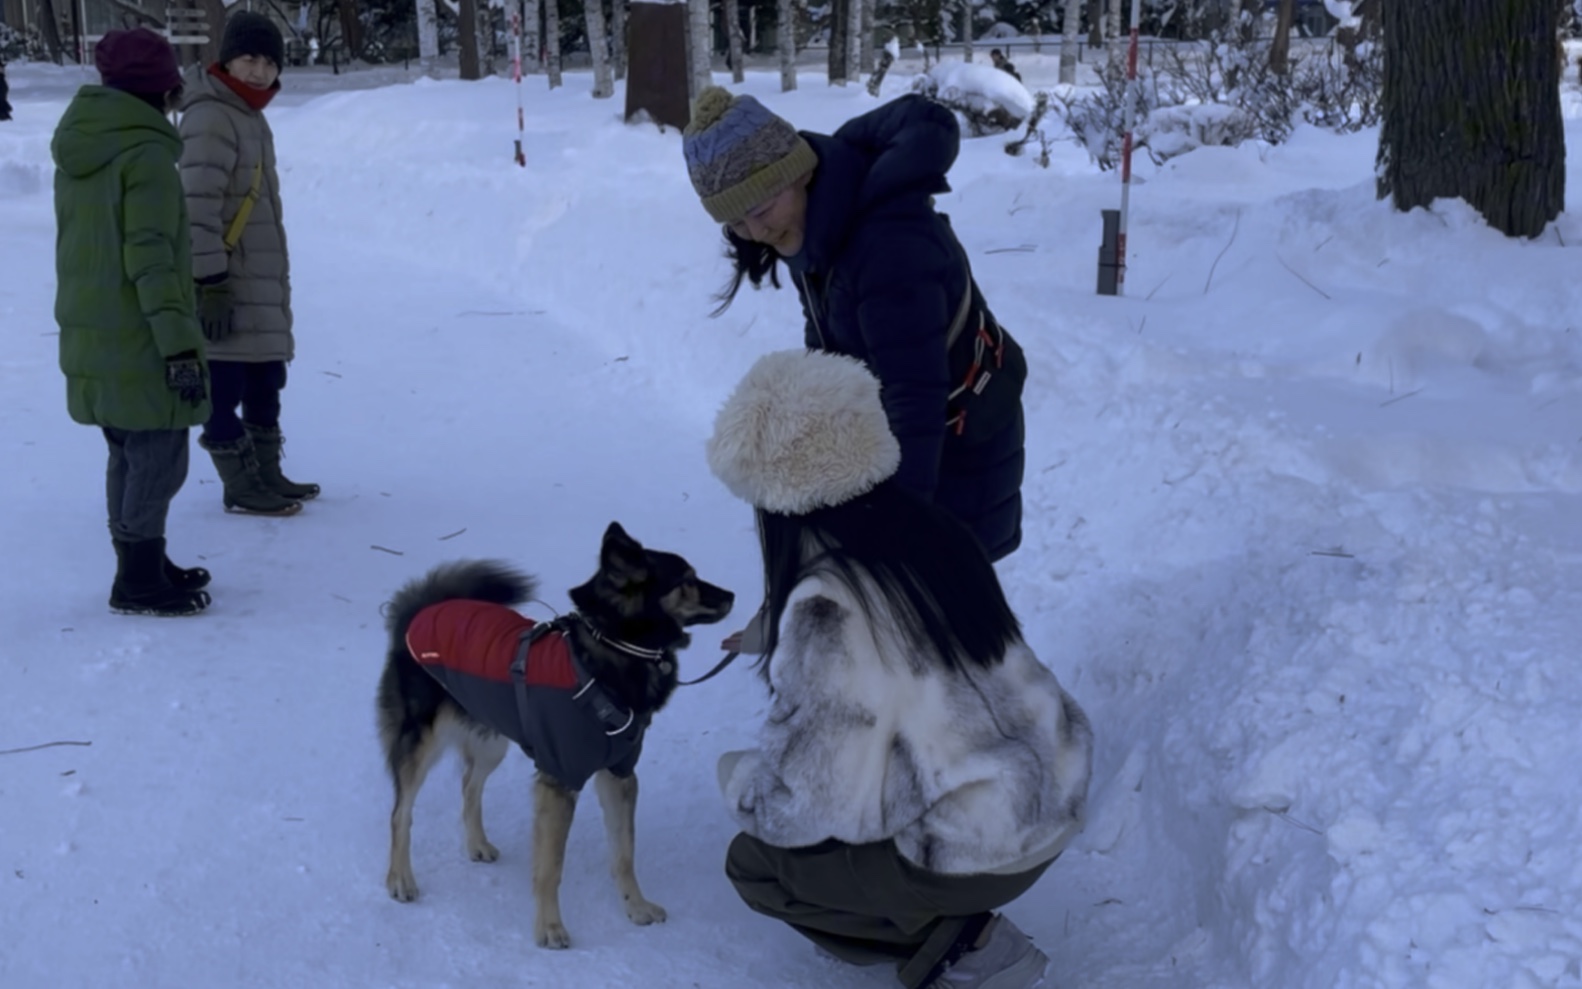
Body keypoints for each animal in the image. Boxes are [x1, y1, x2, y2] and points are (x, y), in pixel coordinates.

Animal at [376, 522, 734, 943]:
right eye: (687, 580)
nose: (732, 595)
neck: (614, 647)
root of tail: (421, 609)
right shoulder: (560, 780)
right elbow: (551, 867)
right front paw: (549, 927)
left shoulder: (620, 774)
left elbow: (624, 854)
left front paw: (636, 907)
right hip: (421, 745)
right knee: (401, 813)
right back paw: (400, 878)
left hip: (491, 739)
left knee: (469, 785)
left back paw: (477, 843)